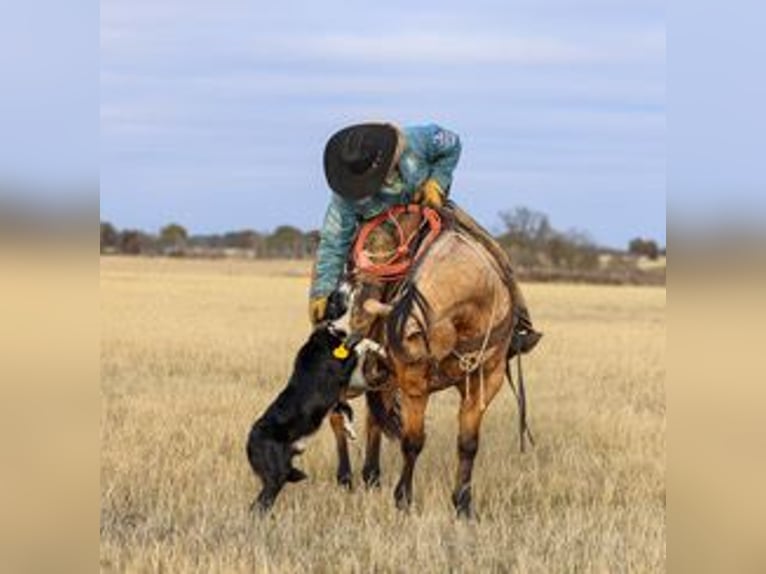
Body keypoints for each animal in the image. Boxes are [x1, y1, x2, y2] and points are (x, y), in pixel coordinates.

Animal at [327, 205, 535, 518]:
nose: (341, 331)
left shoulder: (485, 380)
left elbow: (468, 444)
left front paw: (463, 504)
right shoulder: (414, 383)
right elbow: (412, 441)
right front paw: (403, 499)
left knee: (373, 418)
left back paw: (372, 477)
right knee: (337, 415)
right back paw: (345, 478)